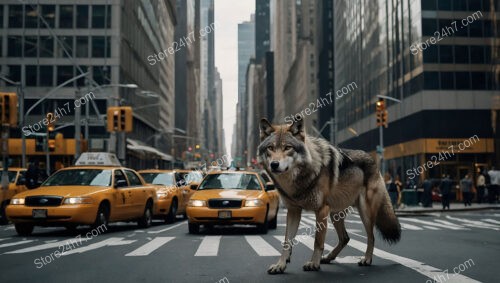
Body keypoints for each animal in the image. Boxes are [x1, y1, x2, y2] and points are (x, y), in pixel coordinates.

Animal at [258, 118, 402, 276]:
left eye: (287, 147)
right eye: (270, 148)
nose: (274, 164)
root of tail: (373, 159)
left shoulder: (321, 210)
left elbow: (318, 241)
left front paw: (313, 264)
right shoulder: (293, 211)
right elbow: (286, 242)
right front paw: (280, 265)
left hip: (365, 213)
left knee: (371, 237)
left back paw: (366, 260)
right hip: (335, 214)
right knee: (345, 238)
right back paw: (328, 258)